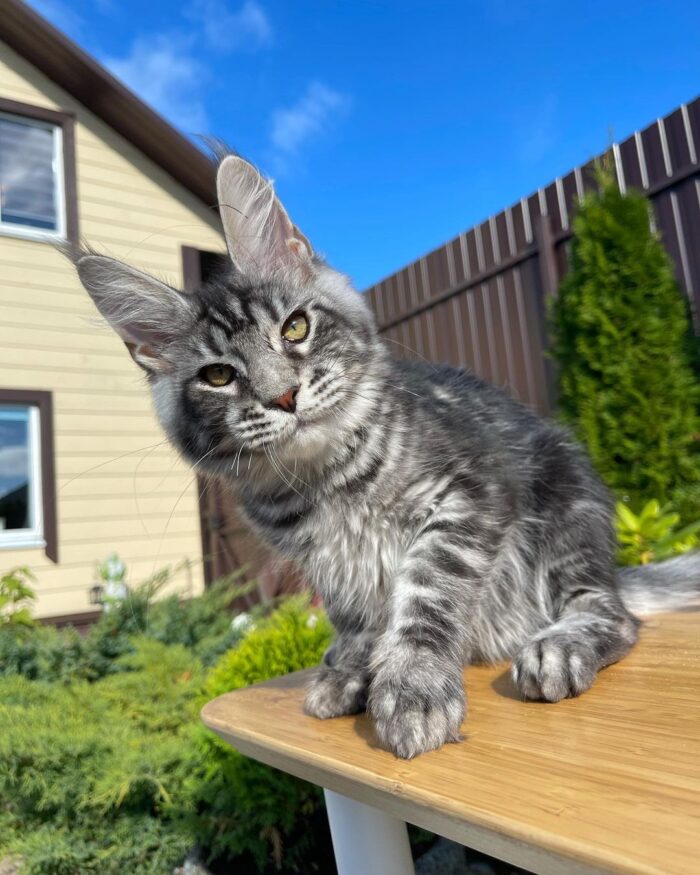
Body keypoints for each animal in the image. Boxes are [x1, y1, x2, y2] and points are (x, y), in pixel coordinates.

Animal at [71, 157, 700, 760]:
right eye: (219, 376)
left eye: (295, 327)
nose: (284, 396)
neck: (327, 480)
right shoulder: (328, 563)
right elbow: (357, 618)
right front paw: (352, 670)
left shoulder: (471, 494)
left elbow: (426, 590)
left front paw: (414, 682)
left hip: (567, 497)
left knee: (612, 613)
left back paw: (559, 645)